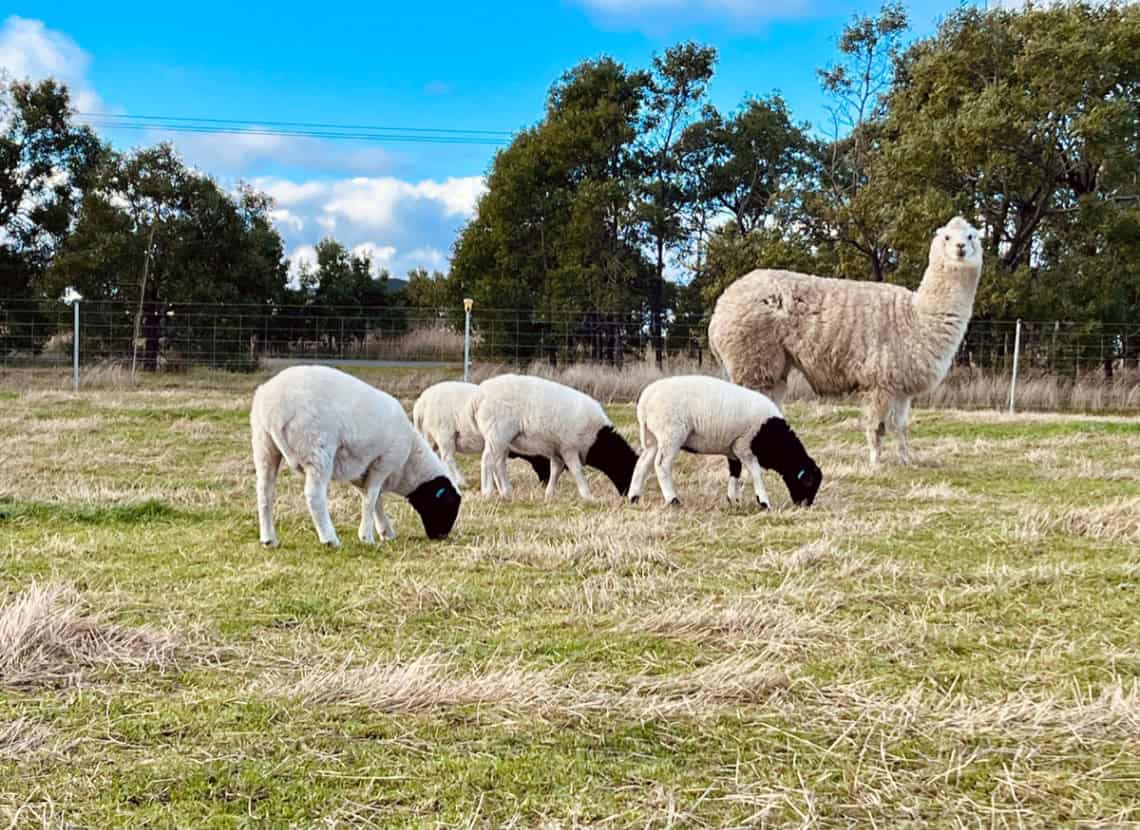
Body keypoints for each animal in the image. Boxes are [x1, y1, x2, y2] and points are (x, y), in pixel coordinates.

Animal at [251, 367, 460, 547]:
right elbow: (371, 499)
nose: (441, 537)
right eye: (447, 506)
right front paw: (367, 537)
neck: (409, 463)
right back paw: (330, 539)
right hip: (316, 448)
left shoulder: (360, 472)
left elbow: (374, 500)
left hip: (264, 446)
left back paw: (269, 539)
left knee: (264, 492)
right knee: (314, 496)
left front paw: (385, 531)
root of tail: (273, 407)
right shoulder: (383, 463)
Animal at [410, 380, 551, 490]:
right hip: (444, 432)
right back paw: (460, 481)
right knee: (447, 458)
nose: (544, 484)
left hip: (429, 436)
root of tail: (421, 403)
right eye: (545, 461)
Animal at [467, 376, 638, 499]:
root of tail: (479, 396)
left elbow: (556, 470)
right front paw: (587, 496)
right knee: (488, 460)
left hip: (500, 438)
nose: (633, 499)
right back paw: (488, 492)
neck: (596, 438)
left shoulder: (558, 450)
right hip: (497, 433)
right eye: (630, 470)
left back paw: (506, 492)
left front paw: (549, 494)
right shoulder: (569, 447)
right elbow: (577, 471)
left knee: (499, 463)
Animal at [629, 373, 825, 506]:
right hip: (671, 433)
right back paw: (673, 500)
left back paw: (634, 497)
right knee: (661, 465)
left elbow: (735, 471)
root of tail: (645, 399)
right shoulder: (744, 445)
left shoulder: (732, 448)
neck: (773, 436)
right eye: (808, 482)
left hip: (653, 438)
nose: (805, 506)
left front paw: (733, 499)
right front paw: (763, 501)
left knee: (642, 463)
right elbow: (756, 472)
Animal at [706, 215, 984, 467]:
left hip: (772, 366)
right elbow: (877, 427)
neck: (916, 318)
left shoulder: (900, 385)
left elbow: (901, 426)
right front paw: (875, 464)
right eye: (947, 237)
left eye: (971, 236)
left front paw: (907, 461)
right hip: (753, 360)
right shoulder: (878, 381)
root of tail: (721, 306)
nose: (961, 248)